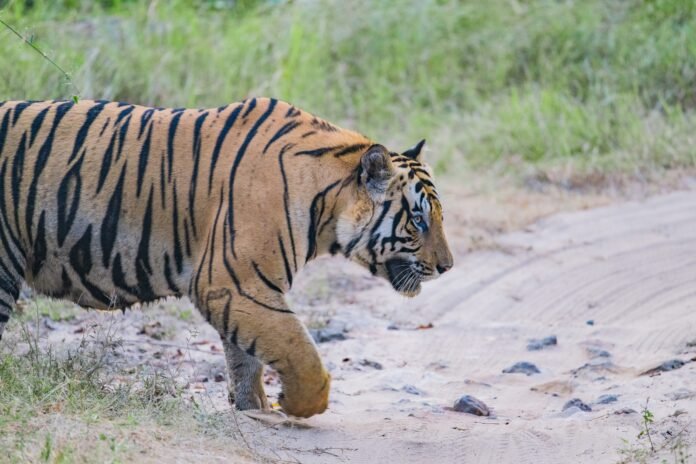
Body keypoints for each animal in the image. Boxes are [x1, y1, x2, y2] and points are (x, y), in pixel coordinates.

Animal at [0, 98, 453, 418]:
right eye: (418, 220)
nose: (448, 267)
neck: (326, 202)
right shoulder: (234, 282)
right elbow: (297, 349)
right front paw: (296, 404)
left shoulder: (241, 285)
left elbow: (246, 355)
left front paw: (254, 407)